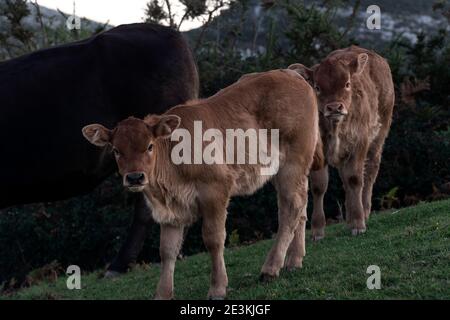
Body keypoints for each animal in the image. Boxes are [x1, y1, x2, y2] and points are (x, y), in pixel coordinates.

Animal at [290, 46, 396, 239]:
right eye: (317, 87)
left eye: (347, 84)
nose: (334, 107)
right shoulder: (317, 151)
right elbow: (319, 186)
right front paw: (318, 229)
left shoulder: (359, 142)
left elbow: (355, 179)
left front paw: (358, 224)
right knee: (346, 181)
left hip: (379, 135)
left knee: (369, 172)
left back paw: (364, 211)